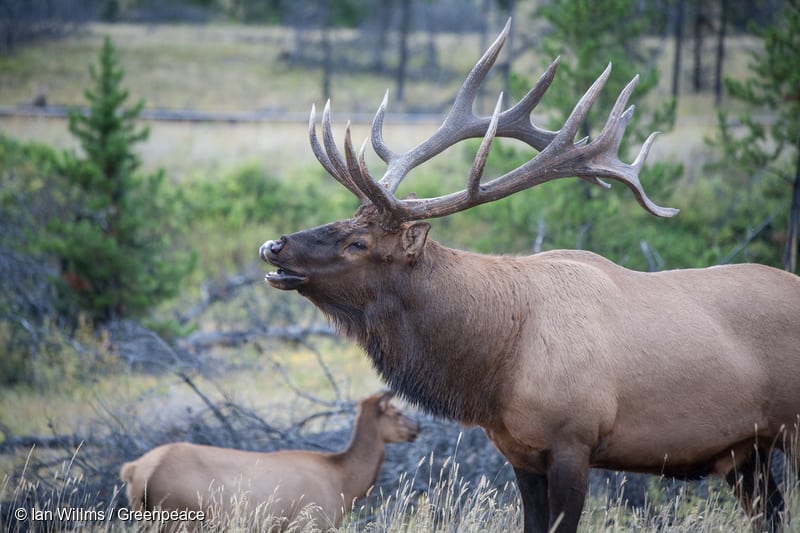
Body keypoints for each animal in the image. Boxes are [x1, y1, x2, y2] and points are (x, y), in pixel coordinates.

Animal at [119, 392, 419, 531]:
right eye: (396, 412)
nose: (419, 427)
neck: (345, 482)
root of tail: (134, 470)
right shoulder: (311, 521)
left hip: (146, 517)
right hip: (178, 515)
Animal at [259, 20, 800, 533]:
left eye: (359, 243)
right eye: (345, 221)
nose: (273, 246)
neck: (495, 363)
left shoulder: (574, 441)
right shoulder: (519, 452)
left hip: (789, 429)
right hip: (744, 451)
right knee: (770, 512)